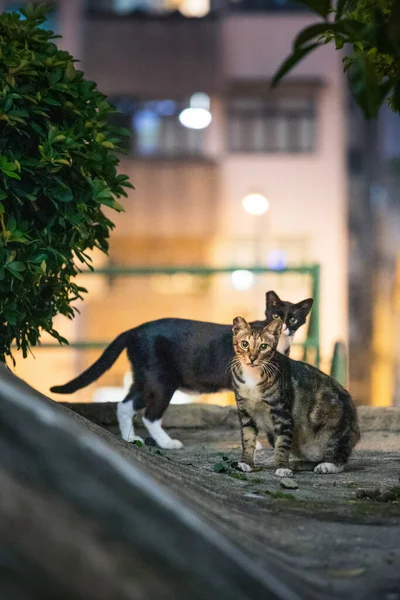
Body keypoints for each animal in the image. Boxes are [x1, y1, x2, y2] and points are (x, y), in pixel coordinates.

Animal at [50, 290, 312, 450]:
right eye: (276, 314)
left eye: (293, 319)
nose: (285, 328)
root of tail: (135, 329)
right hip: (162, 381)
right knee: (149, 415)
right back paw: (167, 443)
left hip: (145, 377)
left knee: (124, 404)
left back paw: (130, 439)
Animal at [231, 316, 360, 476]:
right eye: (245, 344)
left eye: (263, 346)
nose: (252, 358)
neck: (252, 378)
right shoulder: (245, 412)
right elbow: (248, 439)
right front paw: (245, 463)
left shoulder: (282, 412)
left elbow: (282, 444)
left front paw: (282, 467)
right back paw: (299, 463)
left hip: (336, 425)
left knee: (339, 457)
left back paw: (327, 466)